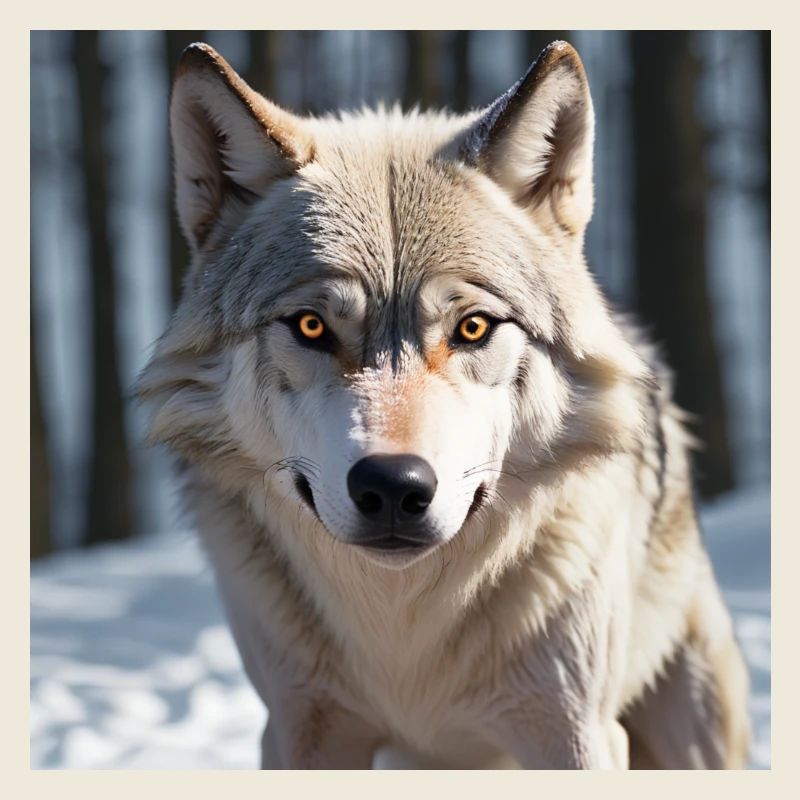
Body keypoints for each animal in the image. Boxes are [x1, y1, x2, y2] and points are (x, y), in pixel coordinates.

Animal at [138, 40, 750, 768]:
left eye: (474, 327)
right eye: (311, 326)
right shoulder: (300, 729)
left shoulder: (575, 733)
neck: (404, 633)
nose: (392, 487)